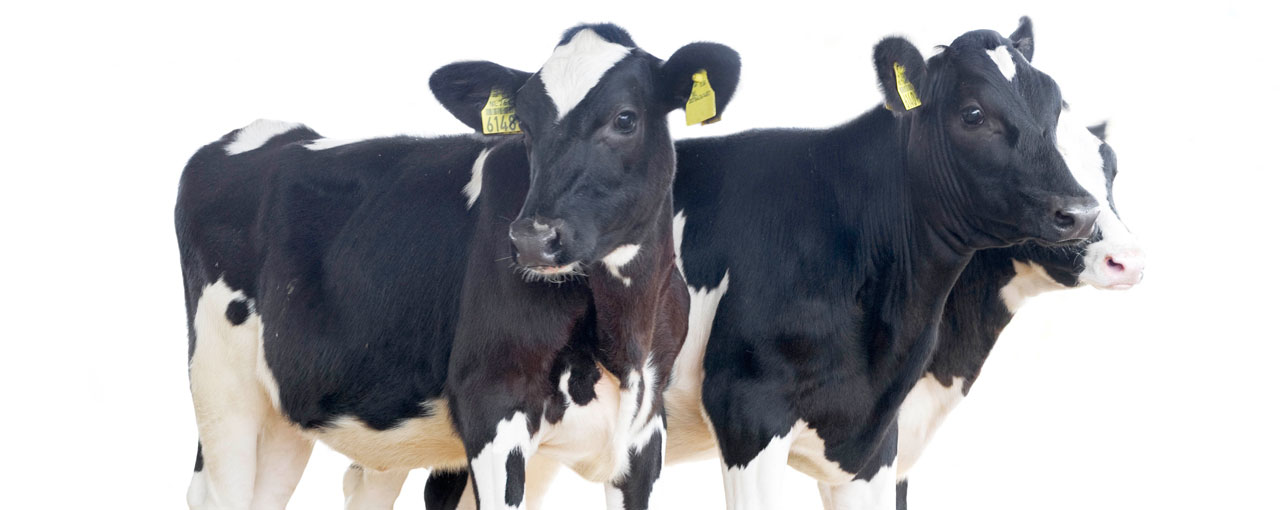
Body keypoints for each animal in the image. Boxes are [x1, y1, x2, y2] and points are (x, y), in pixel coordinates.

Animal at [175, 23, 739, 510]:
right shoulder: (493, 407)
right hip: (221, 385)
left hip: (289, 414)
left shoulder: (644, 433)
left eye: (625, 118)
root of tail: (263, 132)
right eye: (524, 126)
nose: (532, 238)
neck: (624, 334)